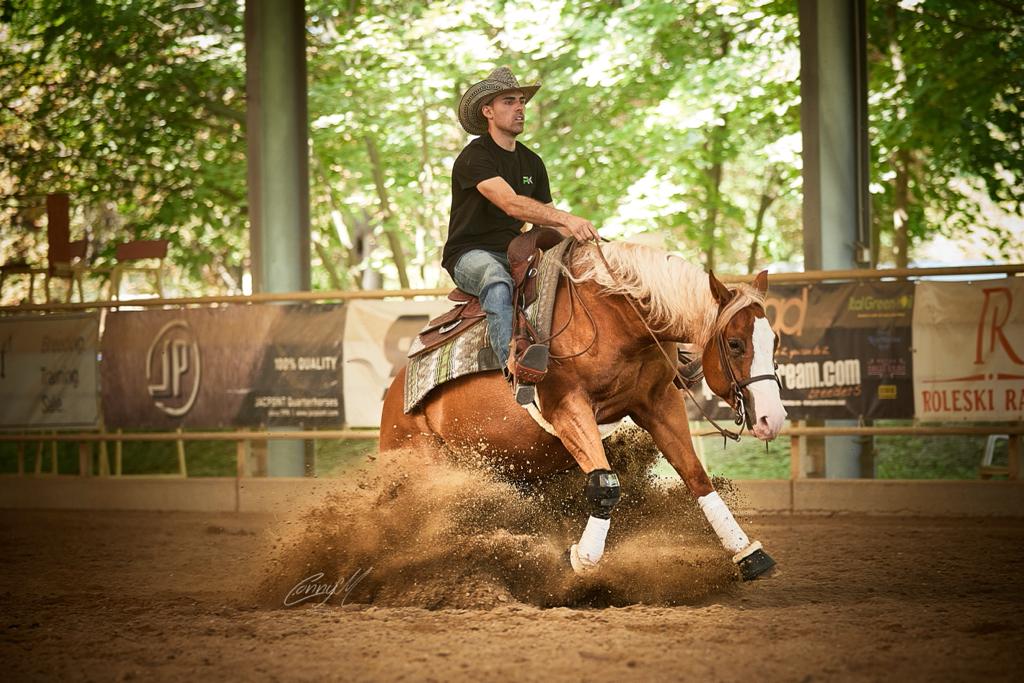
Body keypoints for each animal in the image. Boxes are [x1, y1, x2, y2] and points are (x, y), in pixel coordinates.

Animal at [379, 240, 787, 580]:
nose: (773, 418)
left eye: (775, 341)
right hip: (420, 459)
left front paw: (747, 553)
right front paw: (580, 559)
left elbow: (696, 476)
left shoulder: (659, 403)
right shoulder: (569, 408)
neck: (617, 319)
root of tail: (395, 394)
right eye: (735, 343)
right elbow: (605, 485)